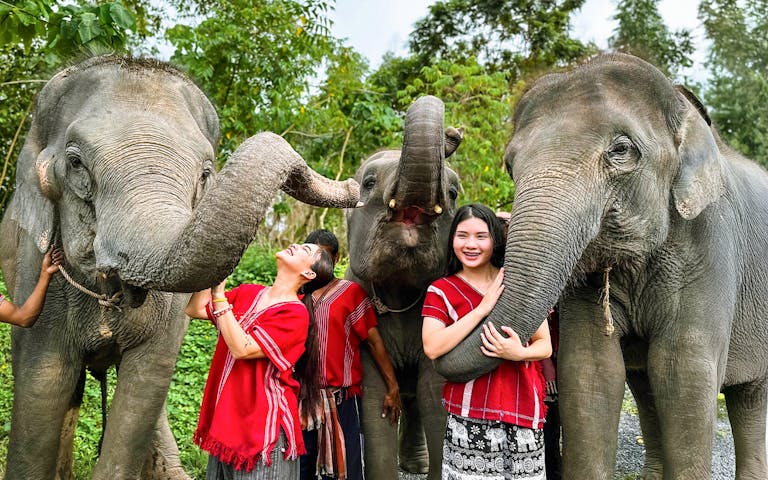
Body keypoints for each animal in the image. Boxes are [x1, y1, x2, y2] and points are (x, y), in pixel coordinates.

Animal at [0, 55, 359, 480]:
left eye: (205, 174)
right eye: (75, 164)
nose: (354, 186)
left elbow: (145, 387)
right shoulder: (33, 269)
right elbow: (41, 384)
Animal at [434, 52, 768, 479]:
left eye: (621, 149)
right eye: (509, 164)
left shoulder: (710, 242)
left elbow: (684, 372)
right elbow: (591, 370)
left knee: (750, 395)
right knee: (645, 384)